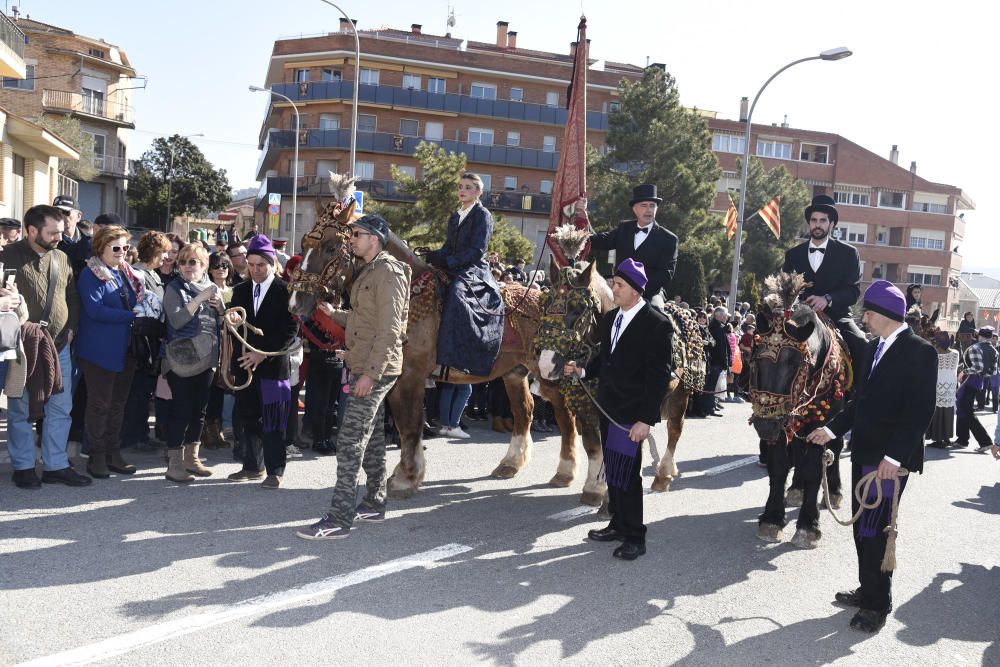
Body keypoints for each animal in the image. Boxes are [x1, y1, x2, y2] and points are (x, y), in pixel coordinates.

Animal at [286, 177, 604, 506]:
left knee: (565, 414)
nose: (296, 303)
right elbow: (405, 426)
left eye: (331, 246)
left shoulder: (411, 377)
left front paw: (406, 478)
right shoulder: (398, 378)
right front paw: (404, 474)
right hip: (514, 374)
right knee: (525, 411)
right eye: (304, 244)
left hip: (546, 371)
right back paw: (511, 463)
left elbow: (410, 426)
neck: (409, 293)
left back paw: (566, 472)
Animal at [748, 272, 848, 548]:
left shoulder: (820, 424)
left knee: (835, 449)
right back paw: (795, 490)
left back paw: (834, 491)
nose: (764, 425)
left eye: (794, 364)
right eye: (756, 360)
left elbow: (814, 468)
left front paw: (808, 525)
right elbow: (779, 466)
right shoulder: (783, 423)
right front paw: (772, 518)